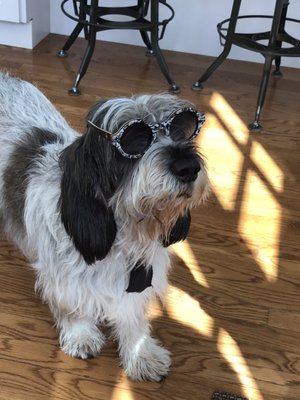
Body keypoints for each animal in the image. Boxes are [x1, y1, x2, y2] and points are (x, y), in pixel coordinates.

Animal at [0, 72, 210, 382]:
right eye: (134, 141)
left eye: (183, 131)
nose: (188, 167)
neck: (123, 230)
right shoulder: (64, 276)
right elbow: (72, 306)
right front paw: (80, 335)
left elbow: (133, 315)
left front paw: (141, 354)